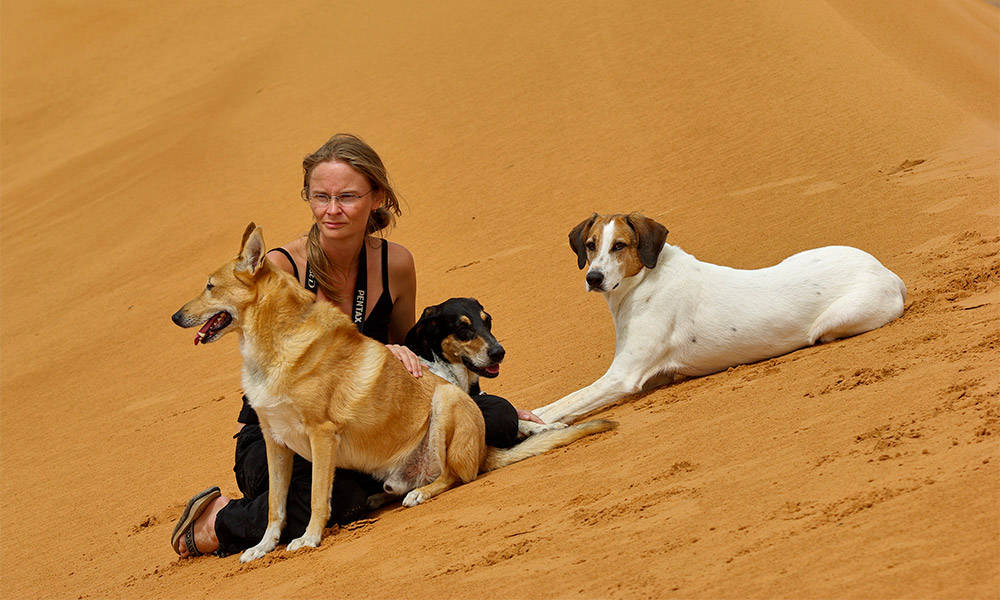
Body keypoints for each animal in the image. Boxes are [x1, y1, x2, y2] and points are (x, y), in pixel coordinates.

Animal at [172, 221, 616, 564]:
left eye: (209, 287)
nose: (175, 316)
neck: (274, 342)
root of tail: (484, 449)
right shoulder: (275, 442)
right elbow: (275, 508)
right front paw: (263, 548)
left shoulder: (321, 435)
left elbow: (316, 498)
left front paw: (309, 538)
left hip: (446, 403)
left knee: (456, 476)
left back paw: (421, 492)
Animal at [536, 213, 912, 424]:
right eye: (590, 245)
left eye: (620, 246)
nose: (594, 277)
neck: (645, 280)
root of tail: (888, 273)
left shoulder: (622, 377)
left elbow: (556, 407)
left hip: (834, 320)